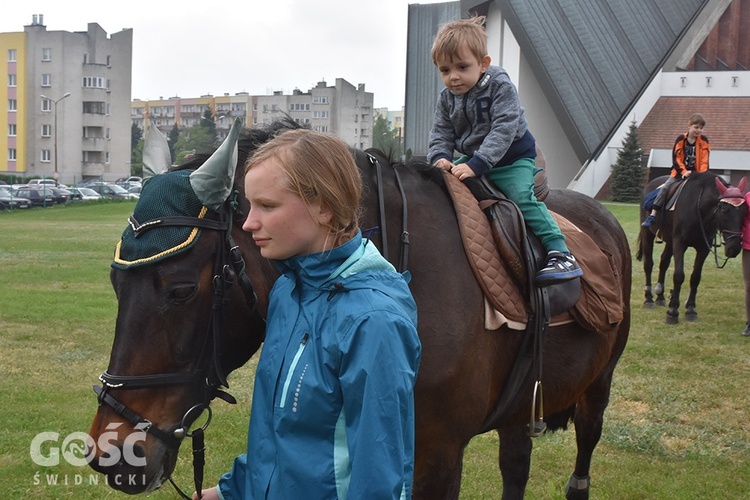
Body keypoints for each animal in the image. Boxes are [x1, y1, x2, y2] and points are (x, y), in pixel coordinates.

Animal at [88, 119, 632, 498]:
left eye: (179, 290)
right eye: (115, 283)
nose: (113, 453)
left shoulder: (437, 455)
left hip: (599, 384)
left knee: (586, 444)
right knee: (516, 465)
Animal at [636, 173, 748, 324]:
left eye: (745, 210)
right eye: (725, 210)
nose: (734, 247)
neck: (698, 207)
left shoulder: (703, 248)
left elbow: (695, 277)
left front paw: (690, 309)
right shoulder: (679, 244)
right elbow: (678, 275)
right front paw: (673, 311)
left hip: (669, 241)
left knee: (663, 263)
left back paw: (660, 297)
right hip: (648, 234)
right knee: (648, 264)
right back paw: (649, 298)